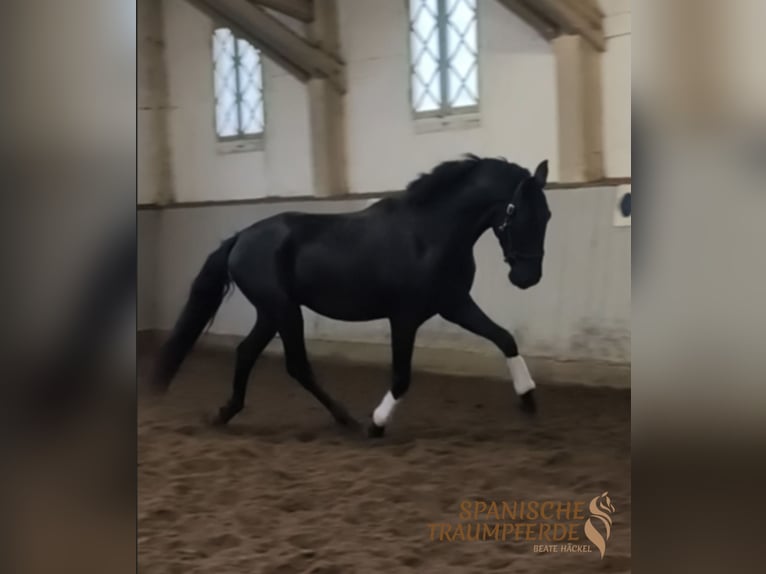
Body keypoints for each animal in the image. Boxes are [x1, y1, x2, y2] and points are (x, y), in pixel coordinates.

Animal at [151, 155, 552, 437]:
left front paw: (529, 398)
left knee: (247, 352)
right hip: (284, 310)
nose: (528, 278)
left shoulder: (453, 304)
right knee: (296, 365)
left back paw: (225, 413)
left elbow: (504, 338)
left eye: (546, 215)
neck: (429, 236)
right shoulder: (405, 316)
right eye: (518, 213)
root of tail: (241, 238)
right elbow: (402, 377)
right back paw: (348, 419)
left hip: (272, 312)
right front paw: (376, 424)